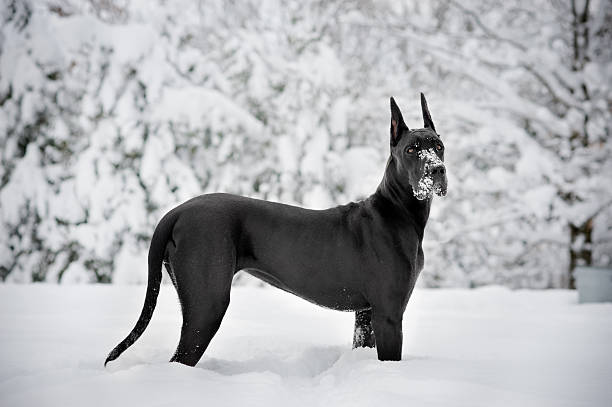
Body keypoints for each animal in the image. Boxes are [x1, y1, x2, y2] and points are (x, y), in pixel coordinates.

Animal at [105, 94, 448, 368]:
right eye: (411, 149)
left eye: (439, 146)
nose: (437, 170)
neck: (399, 210)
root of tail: (176, 212)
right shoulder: (389, 314)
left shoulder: (366, 315)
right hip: (207, 304)